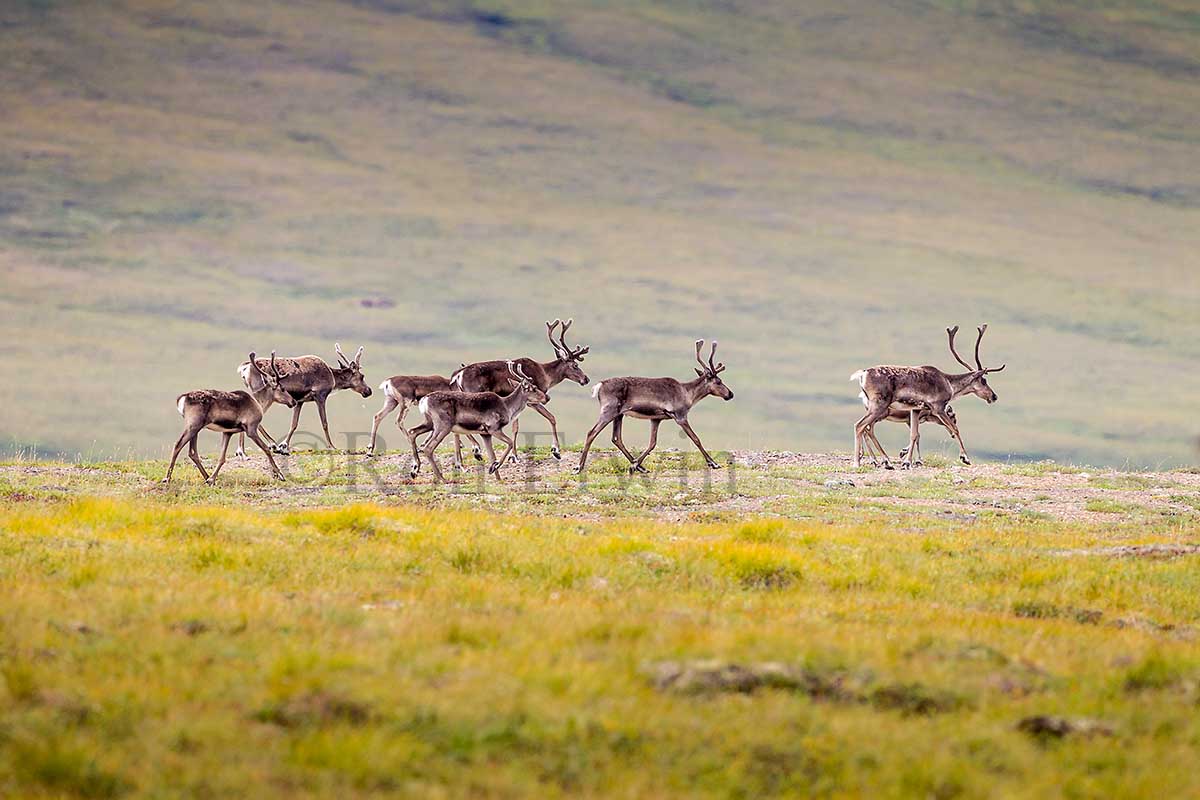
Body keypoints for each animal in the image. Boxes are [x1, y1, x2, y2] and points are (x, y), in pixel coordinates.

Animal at [164, 352, 292, 489]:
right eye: (282, 388)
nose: (293, 401)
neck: (259, 403)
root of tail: (181, 399)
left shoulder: (227, 432)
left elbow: (222, 457)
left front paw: (212, 479)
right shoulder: (251, 429)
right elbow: (266, 449)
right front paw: (280, 475)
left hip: (196, 427)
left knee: (192, 452)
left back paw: (206, 477)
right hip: (193, 425)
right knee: (178, 445)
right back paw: (167, 478)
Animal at [408, 362, 549, 482]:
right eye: (534, 388)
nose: (547, 397)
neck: (507, 407)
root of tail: (424, 401)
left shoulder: (485, 434)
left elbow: (492, 455)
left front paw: (496, 474)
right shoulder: (493, 428)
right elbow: (509, 442)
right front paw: (495, 467)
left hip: (429, 423)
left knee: (412, 432)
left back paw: (416, 469)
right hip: (443, 425)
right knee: (428, 447)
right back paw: (442, 478)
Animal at [578, 340, 734, 474]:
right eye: (719, 381)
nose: (730, 394)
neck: (688, 394)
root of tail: (600, 385)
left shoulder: (656, 419)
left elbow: (652, 443)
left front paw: (635, 465)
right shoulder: (680, 416)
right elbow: (696, 439)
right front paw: (713, 463)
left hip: (619, 414)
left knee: (617, 438)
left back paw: (640, 467)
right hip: (608, 411)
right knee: (591, 432)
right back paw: (579, 467)